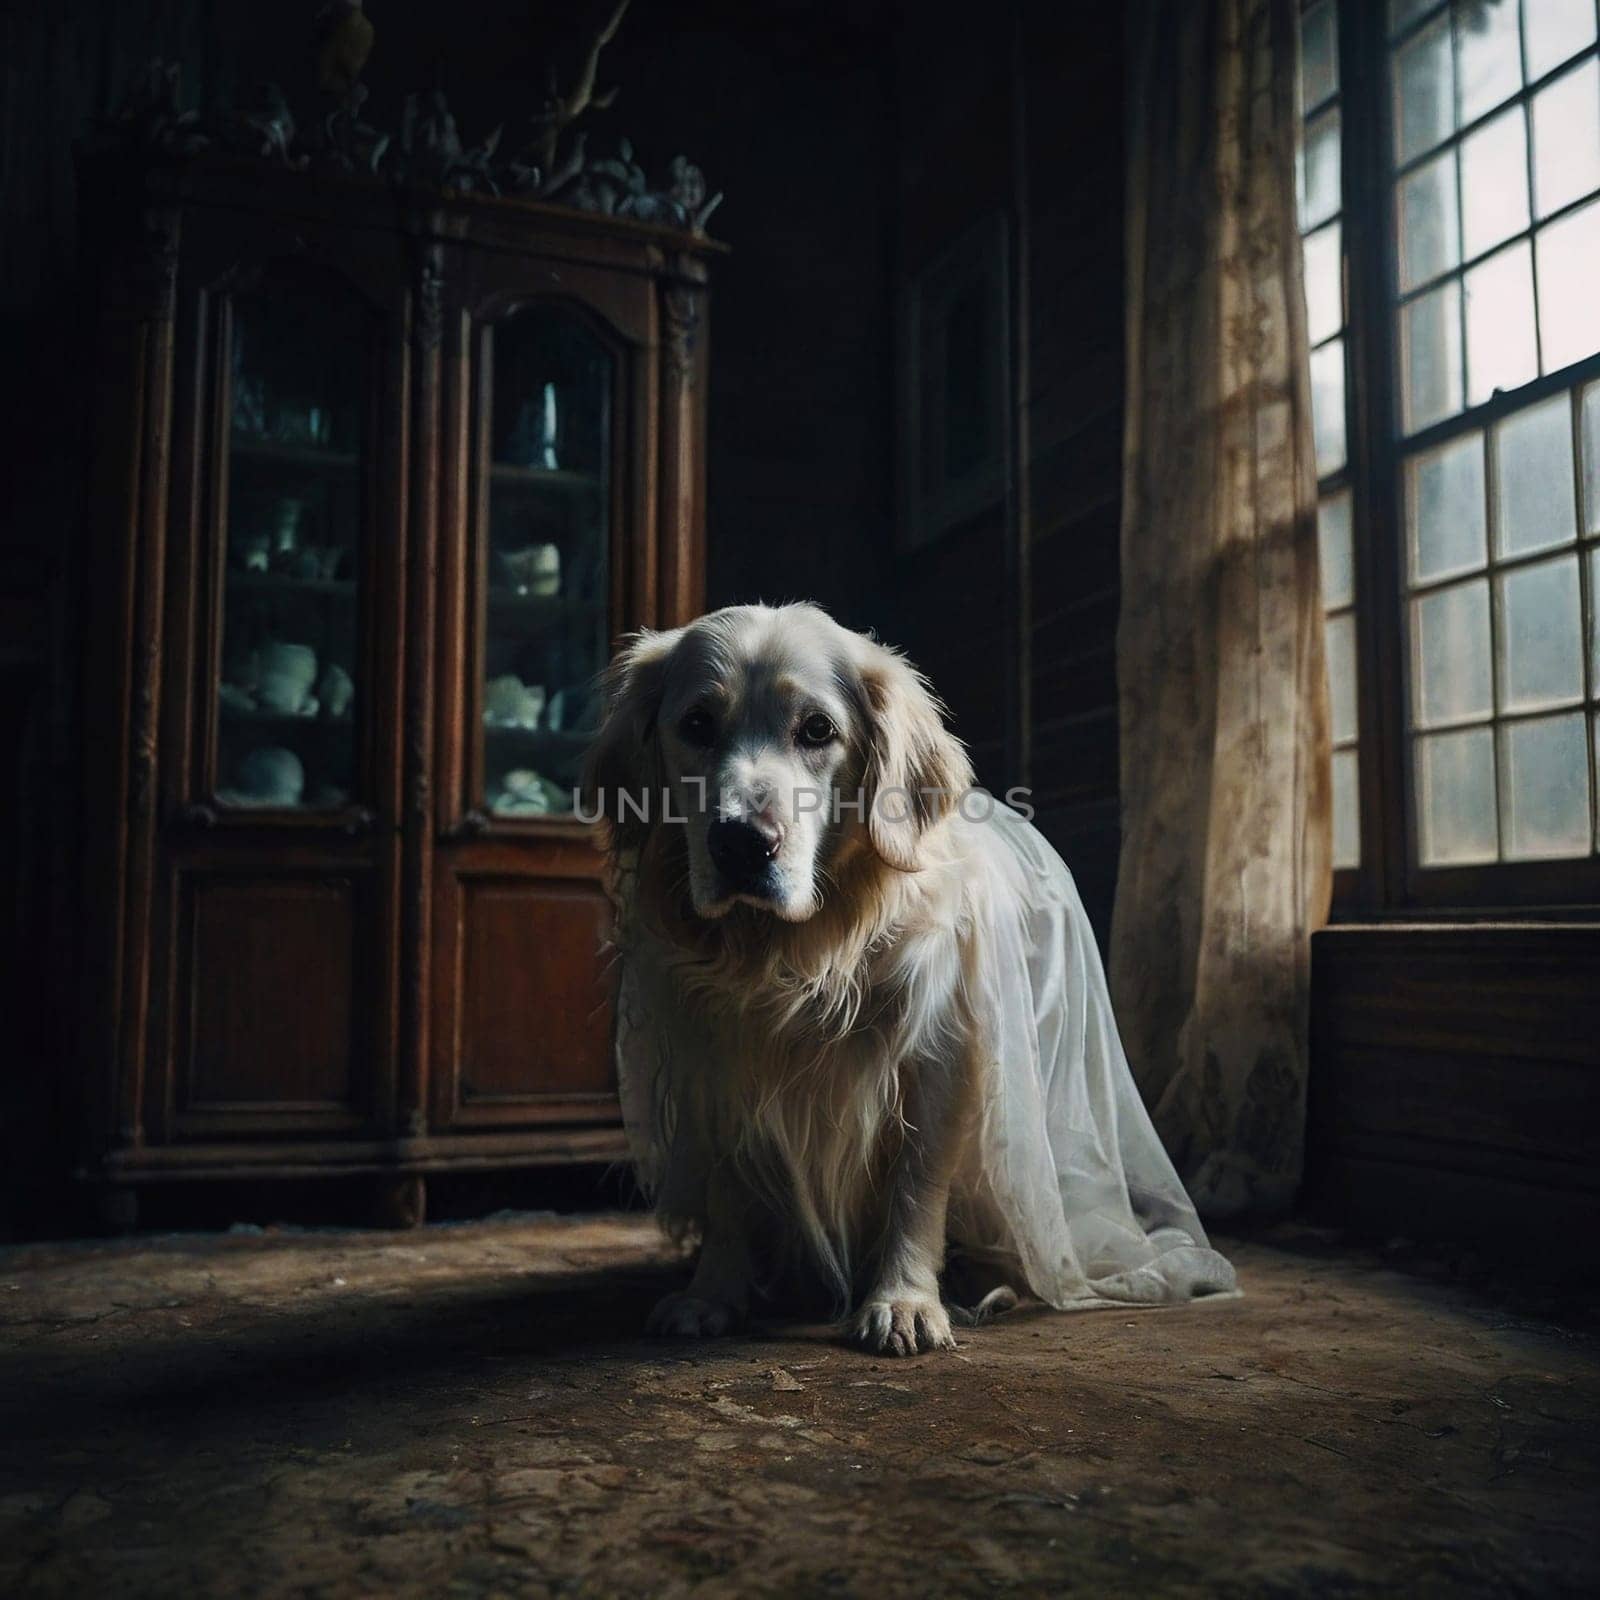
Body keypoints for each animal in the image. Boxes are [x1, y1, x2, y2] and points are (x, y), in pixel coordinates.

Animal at [588, 604, 1235, 1356]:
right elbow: (727, 1193)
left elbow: (916, 1190)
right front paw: (712, 1293)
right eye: (696, 723)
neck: (795, 952)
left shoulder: (937, 1060)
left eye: (818, 730)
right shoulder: (712, 1060)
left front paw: (903, 1301)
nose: (742, 843)